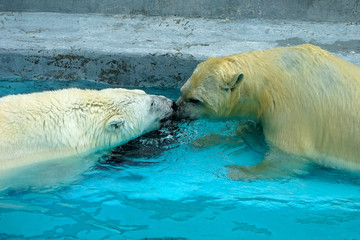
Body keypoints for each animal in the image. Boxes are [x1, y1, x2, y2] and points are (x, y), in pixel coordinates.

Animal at [176, 43, 360, 178]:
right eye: (182, 91)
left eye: (195, 100)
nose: (177, 110)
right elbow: (248, 132)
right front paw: (204, 140)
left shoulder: (291, 110)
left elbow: (288, 157)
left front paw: (239, 170)